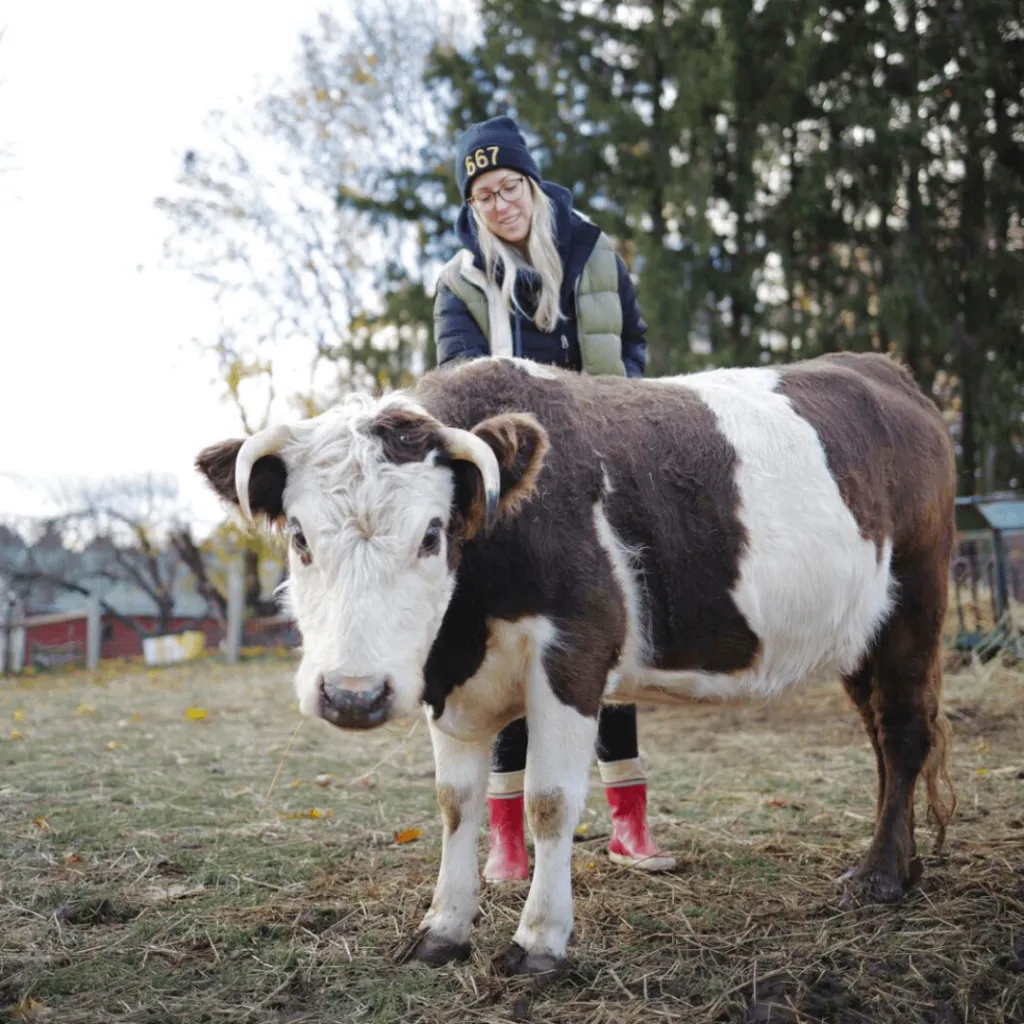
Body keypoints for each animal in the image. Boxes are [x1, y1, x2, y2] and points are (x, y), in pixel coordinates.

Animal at [196, 351, 957, 975]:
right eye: (299, 537)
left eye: (432, 534)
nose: (354, 695)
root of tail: (887, 370)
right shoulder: (450, 682)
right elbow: (455, 801)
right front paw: (443, 928)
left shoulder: (574, 655)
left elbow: (550, 801)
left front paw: (540, 940)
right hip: (859, 635)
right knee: (882, 739)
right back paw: (899, 864)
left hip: (915, 608)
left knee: (904, 734)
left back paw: (881, 878)